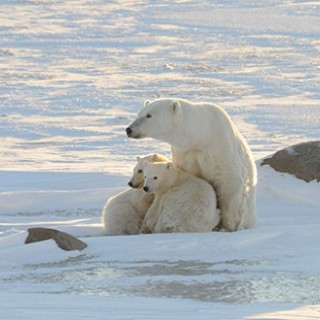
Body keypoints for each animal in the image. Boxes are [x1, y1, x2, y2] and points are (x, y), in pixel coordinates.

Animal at [125, 96, 258, 231]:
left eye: (149, 115)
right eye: (139, 113)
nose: (129, 129)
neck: (202, 135)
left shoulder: (219, 146)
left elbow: (229, 181)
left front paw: (228, 226)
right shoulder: (185, 153)